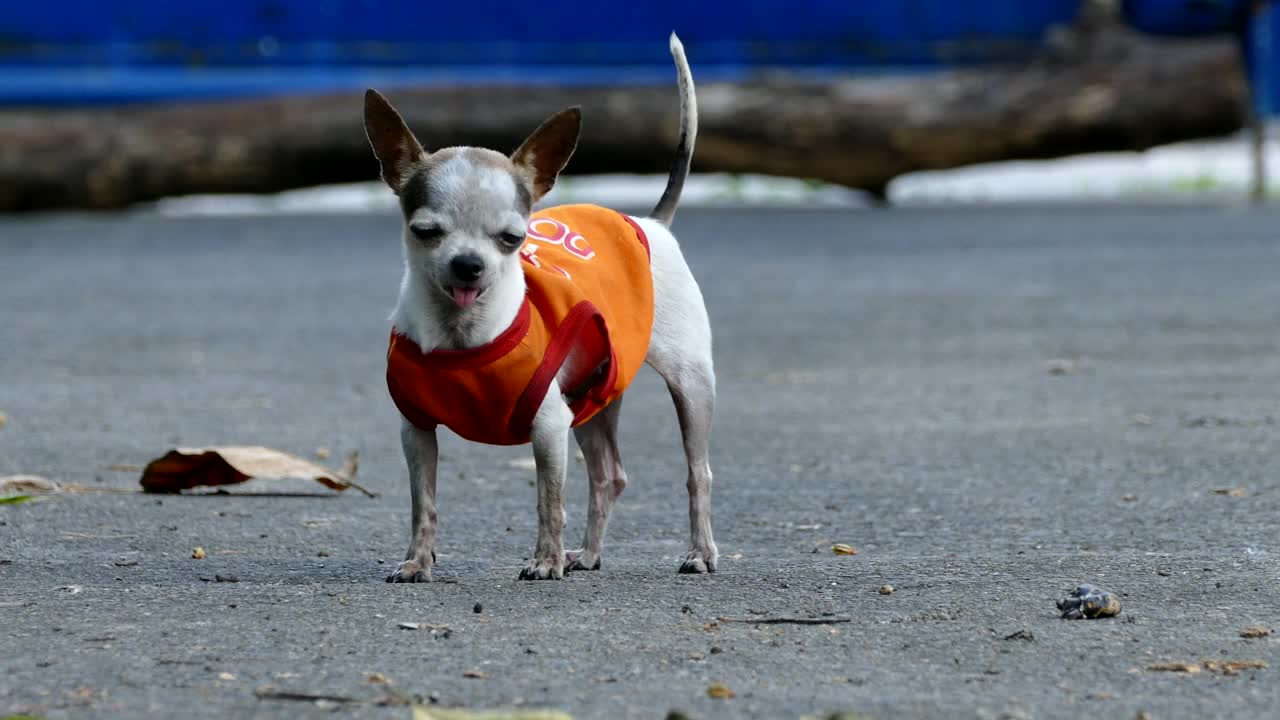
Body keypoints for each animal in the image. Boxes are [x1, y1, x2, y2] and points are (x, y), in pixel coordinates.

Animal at [366, 35, 716, 584]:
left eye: (512, 239)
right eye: (425, 232)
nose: (468, 265)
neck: (463, 334)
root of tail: (650, 222)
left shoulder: (549, 427)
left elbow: (548, 501)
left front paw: (545, 561)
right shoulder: (416, 431)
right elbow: (424, 504)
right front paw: (418, 561)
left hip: (689, 384)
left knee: (696, 473)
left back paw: (699, 552)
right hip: (593, 396)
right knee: (609, 476)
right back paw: (588, 555)